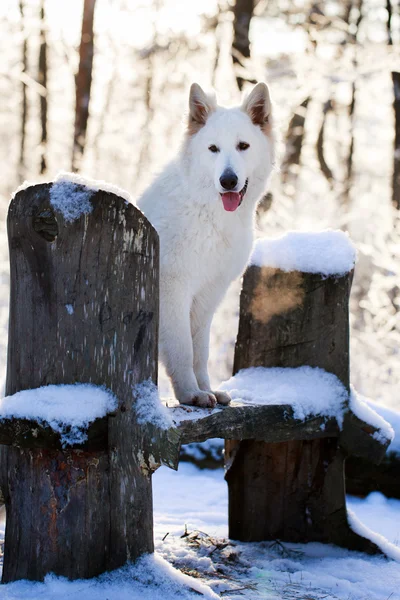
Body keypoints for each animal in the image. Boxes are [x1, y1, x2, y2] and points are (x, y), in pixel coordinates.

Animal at [138, 82, 276, 408]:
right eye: (213, 149)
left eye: (243, 146)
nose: (228, 181)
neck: (206, 211)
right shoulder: (173, 289)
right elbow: (182, 349)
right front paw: (191, 394)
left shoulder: (207, 295)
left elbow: (199, 351)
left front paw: (207, 389)